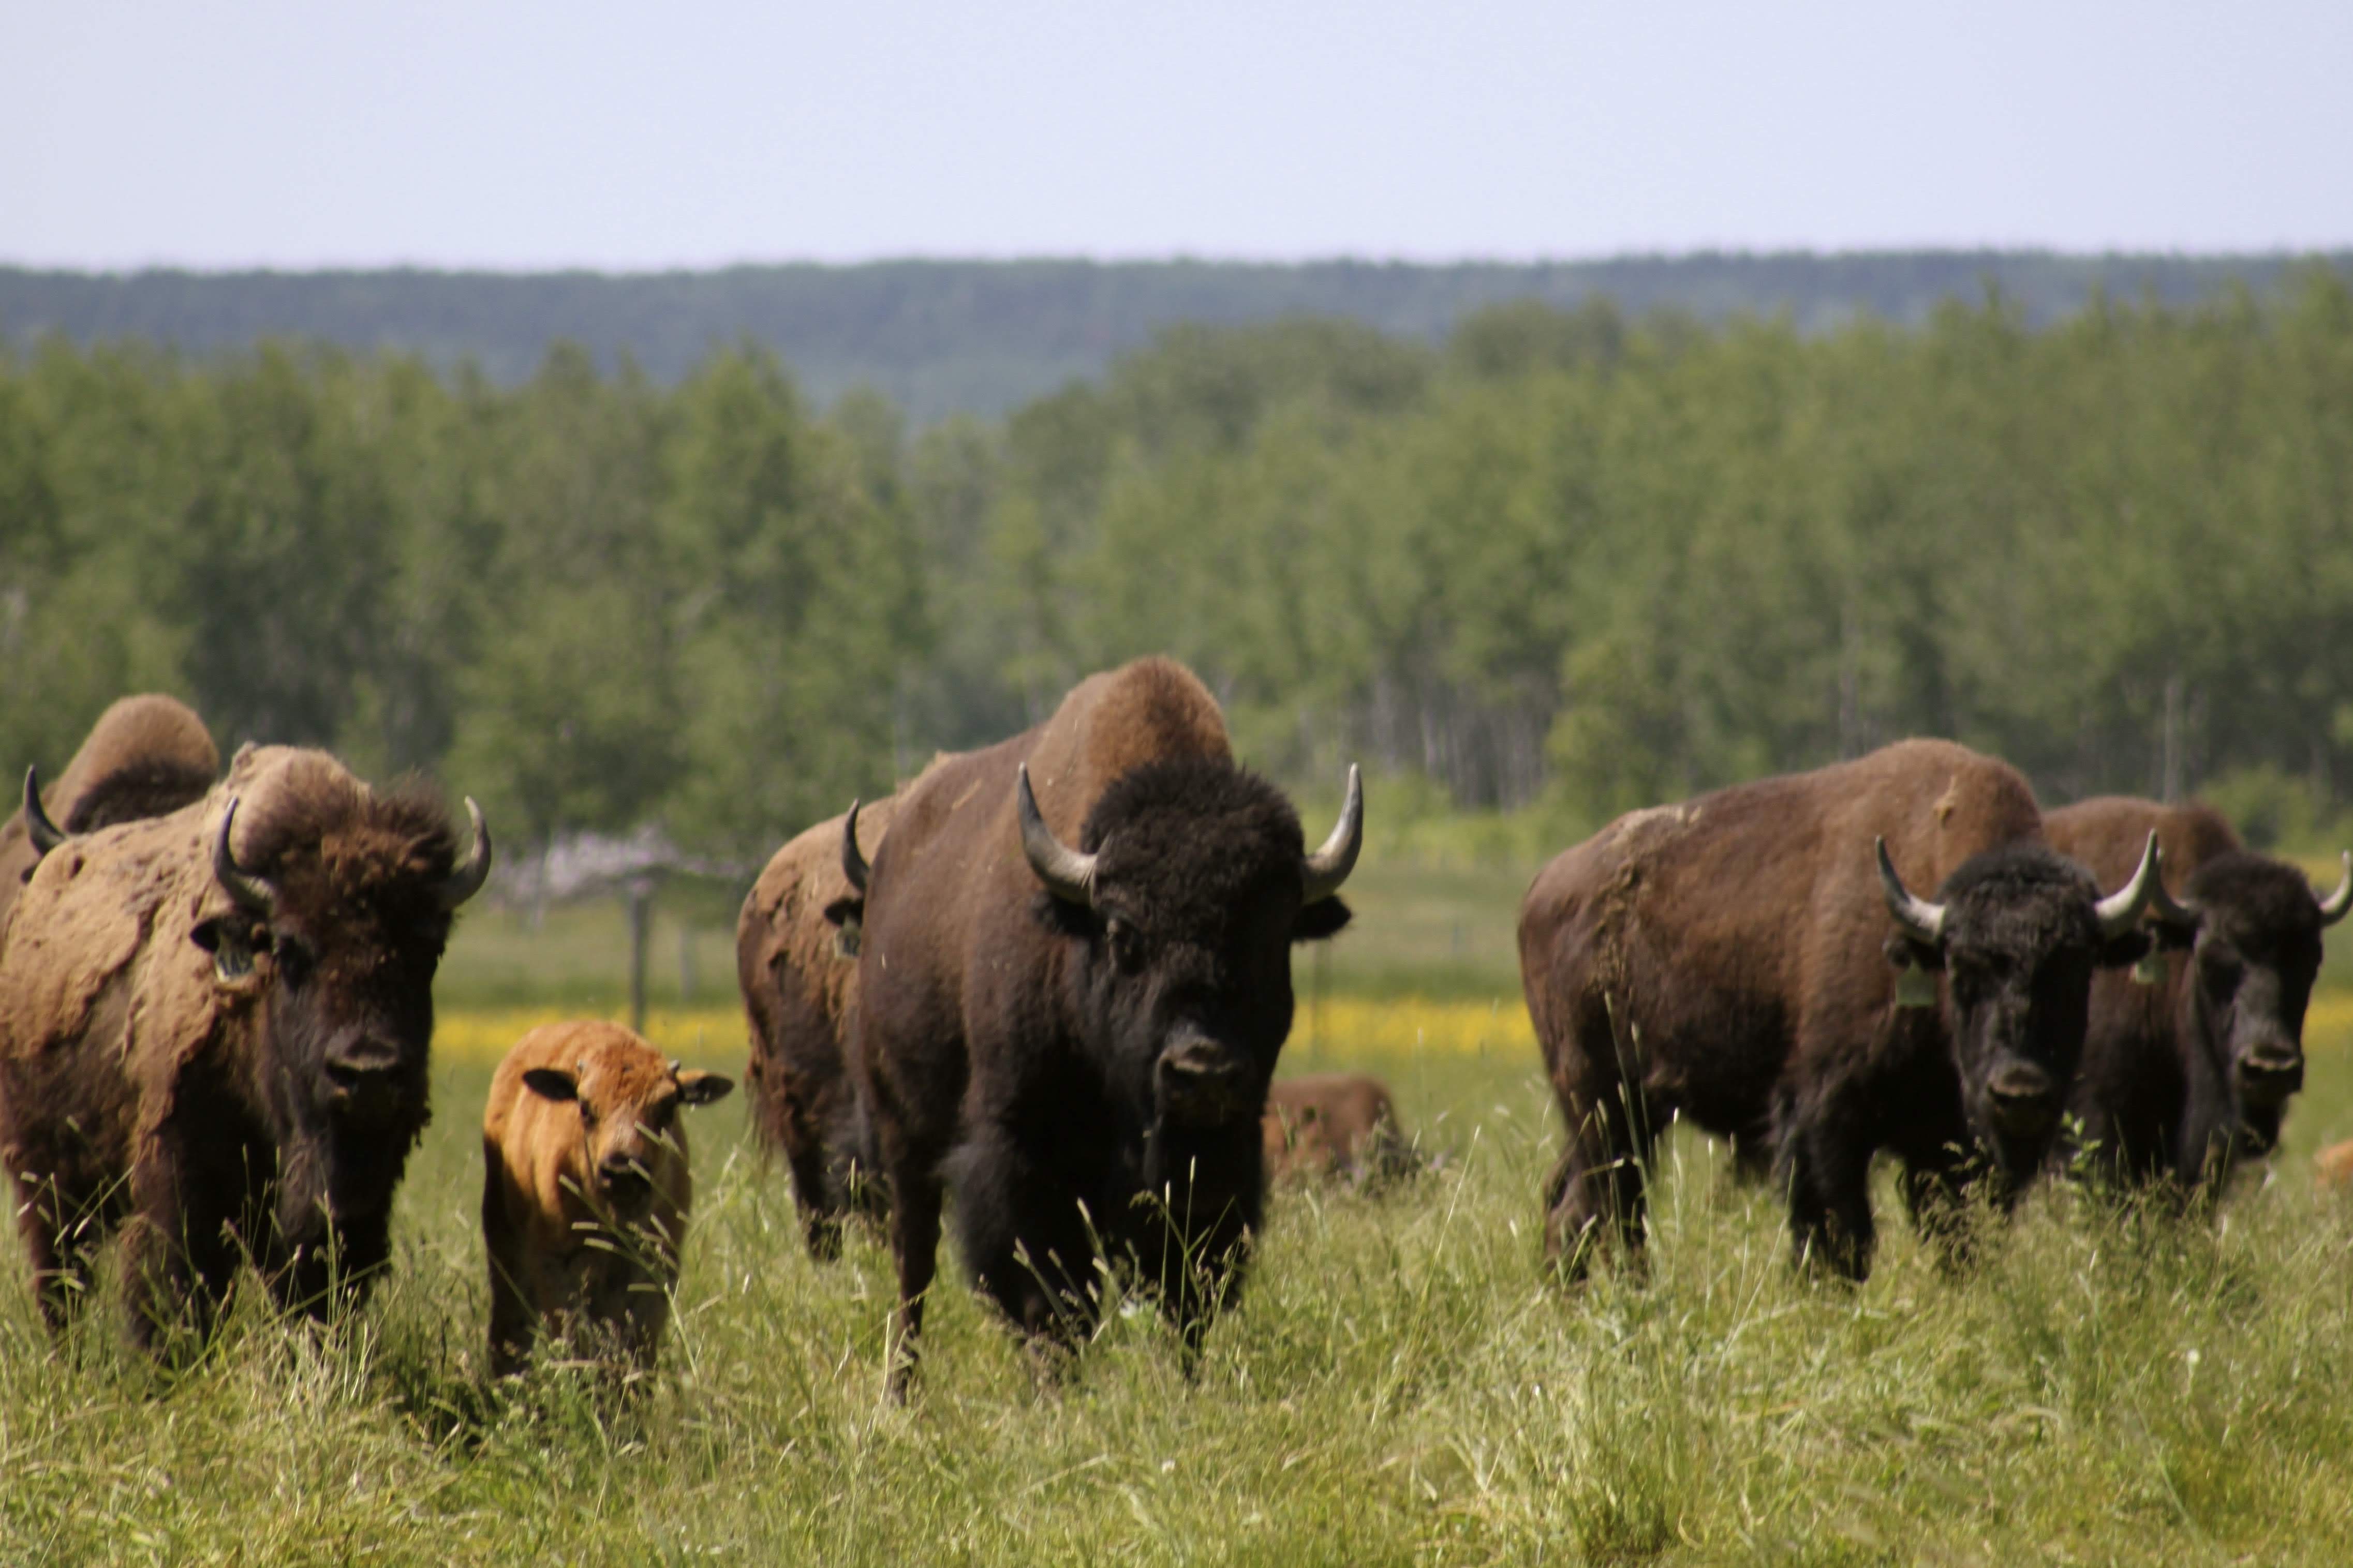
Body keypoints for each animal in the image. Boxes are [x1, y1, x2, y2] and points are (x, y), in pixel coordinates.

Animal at [0, 744, 490, 1352]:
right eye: (289, 946)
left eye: (426, 947)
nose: (369, 1072)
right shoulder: (181, 1177)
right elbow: (179, 1281)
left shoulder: (351, 1201)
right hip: (46, 1177)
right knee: (62, 1276)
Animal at [853, 657, 1360, 1390]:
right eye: (1123, 935)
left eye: (1271, 939)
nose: (1202, 1071)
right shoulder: (1022, 1156)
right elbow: (1047, 1295)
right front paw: (1054, 1390)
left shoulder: (1216, 1168)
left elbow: (1185, 1293)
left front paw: (1184, 1385)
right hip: (904, 1135)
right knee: (912, 1266)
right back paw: (902, 1392)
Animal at [1519, 739, 2160, 1280]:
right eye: (1961, 970)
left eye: (2076, 970)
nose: (2019, 1091)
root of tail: (1543, 886)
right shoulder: (1824, 1119)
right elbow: (1839, 1240)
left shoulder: (1947, 1145)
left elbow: (1956, 1240)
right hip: (1604, 1107)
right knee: (1607, 1210)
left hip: (1626, 1112)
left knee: (1573, 1207)